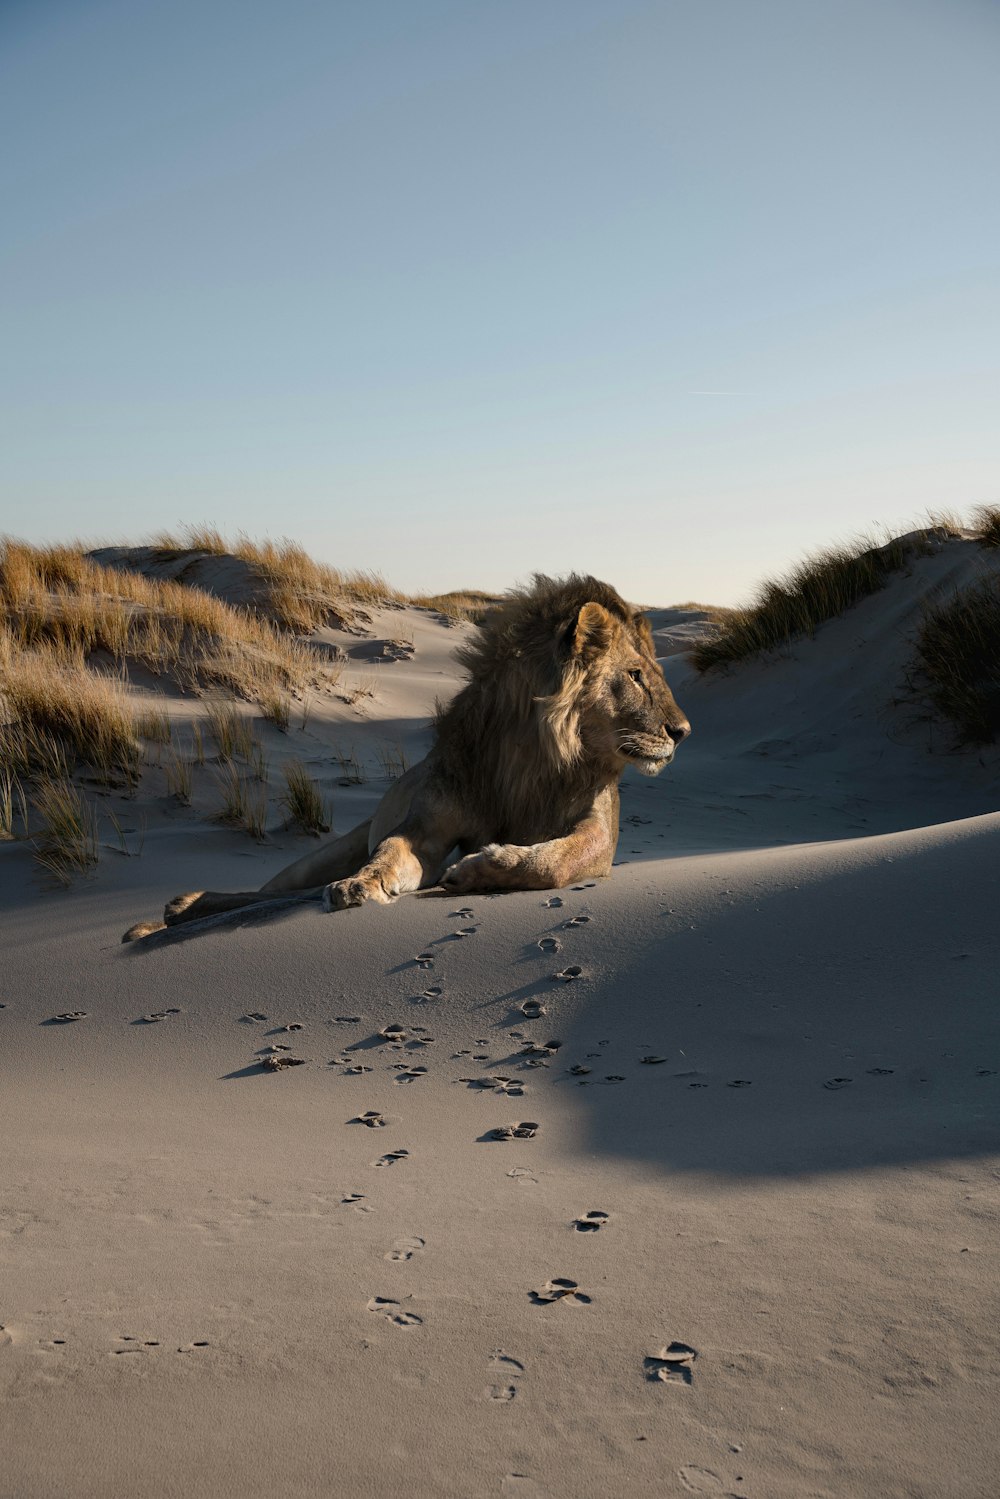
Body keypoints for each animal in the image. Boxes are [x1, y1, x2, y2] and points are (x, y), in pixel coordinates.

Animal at [122, 572, 689, 935]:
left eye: (651, 673)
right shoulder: (428, 825)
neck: (532, 759)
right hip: (324, 854)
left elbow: (555, 859)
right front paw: (361, 885)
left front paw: (478, 870)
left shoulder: (600, 832)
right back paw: (177, 909)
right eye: (636, 675)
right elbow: (392, 850)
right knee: (269, 892)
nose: (683, 731)